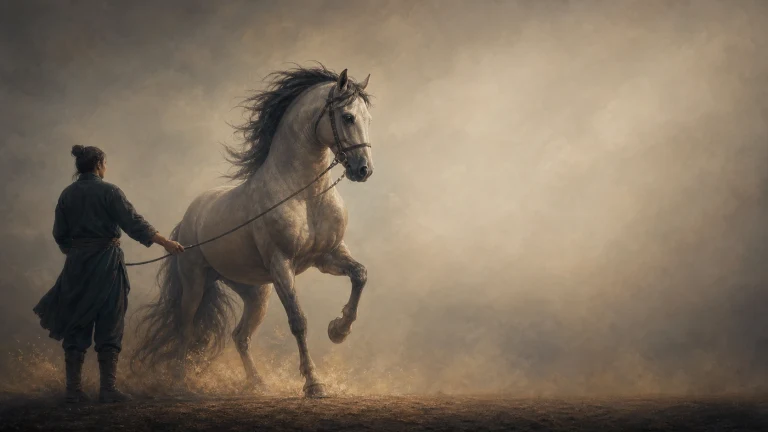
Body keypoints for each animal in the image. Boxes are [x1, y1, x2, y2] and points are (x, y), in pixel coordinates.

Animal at [132, 65, 374, 398]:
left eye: (368, 119)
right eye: (348, 117)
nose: (364, 170)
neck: (306, 194)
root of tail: (187, 220)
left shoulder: (328, 256)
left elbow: (360, 274)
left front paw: (338, 330)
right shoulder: (282, 264)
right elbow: (298, 321)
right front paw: (314, 383)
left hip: (256, 292)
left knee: (240, 335)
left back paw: (257, 383)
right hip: (195, 281)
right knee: (186, 327)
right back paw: (180, 383)